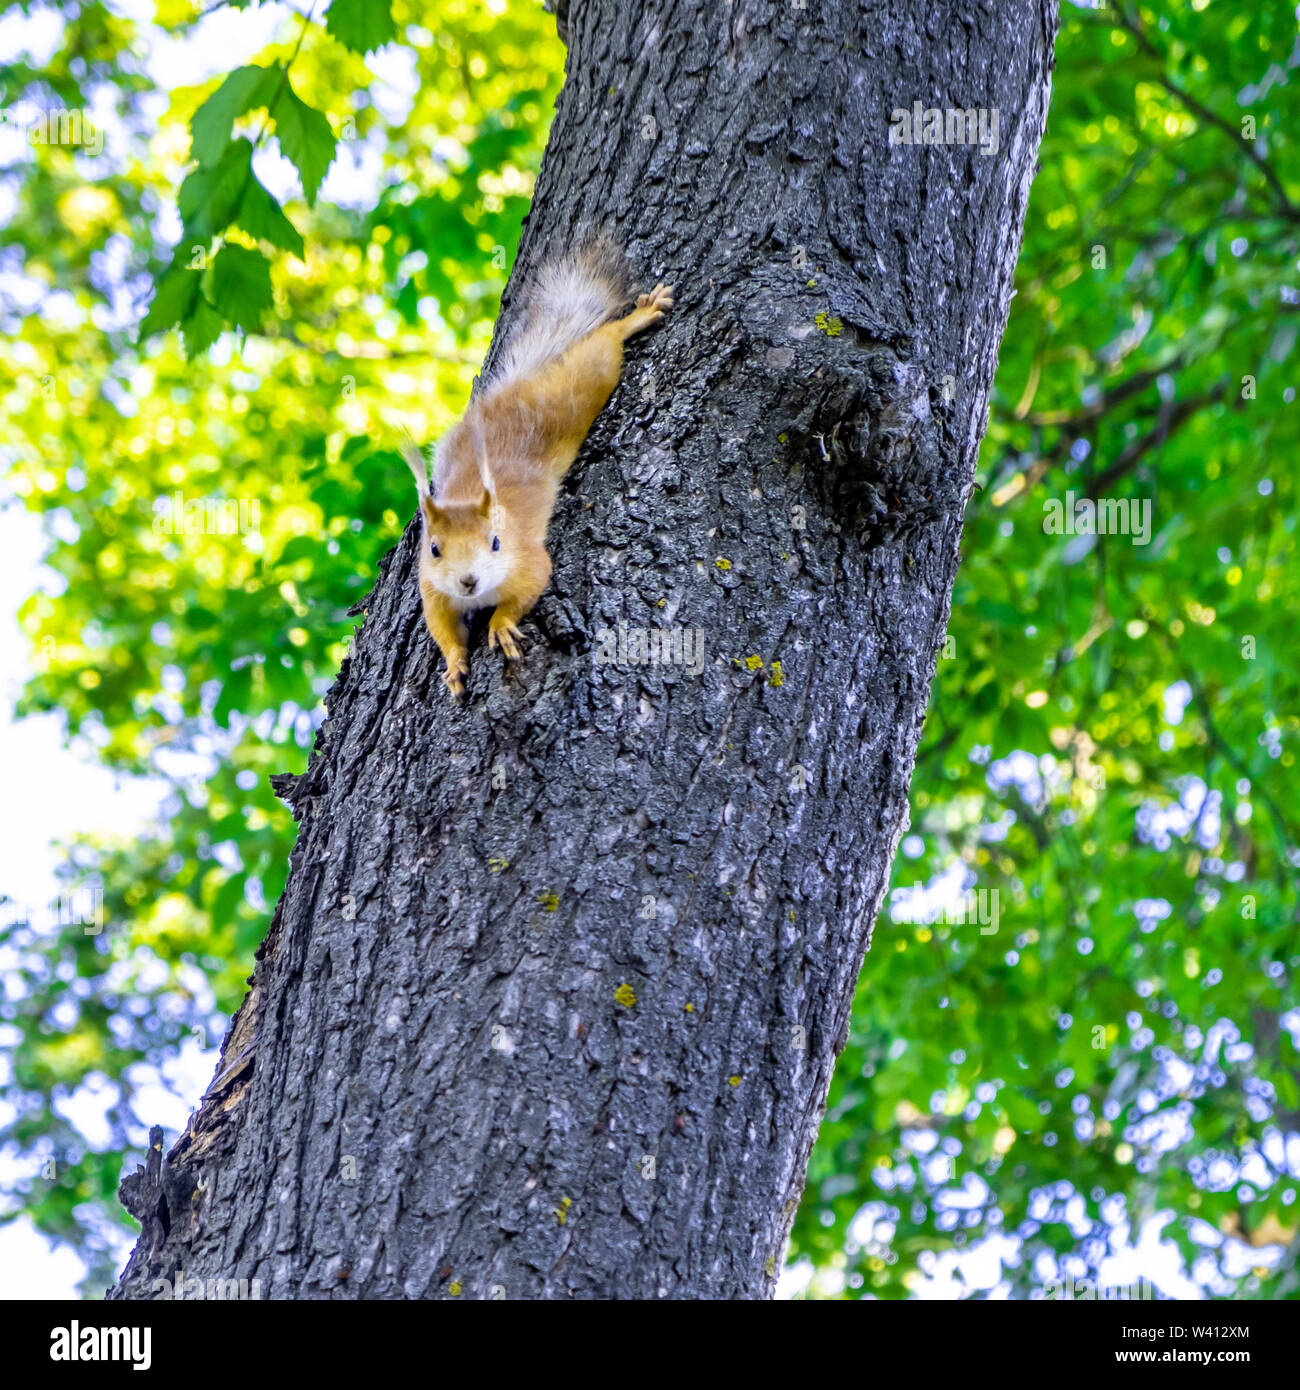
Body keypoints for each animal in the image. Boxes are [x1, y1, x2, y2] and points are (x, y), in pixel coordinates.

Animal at [400, 242, 674, 697]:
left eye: (495, 542)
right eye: (434, 549)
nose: (468, 581)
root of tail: (512, 394)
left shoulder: (525, 559)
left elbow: (527, 589)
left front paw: (501, 625)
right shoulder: (432, 588)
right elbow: (443, 630)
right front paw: (454, 663)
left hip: (579, 388)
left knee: (602, 347)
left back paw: (638, 317)